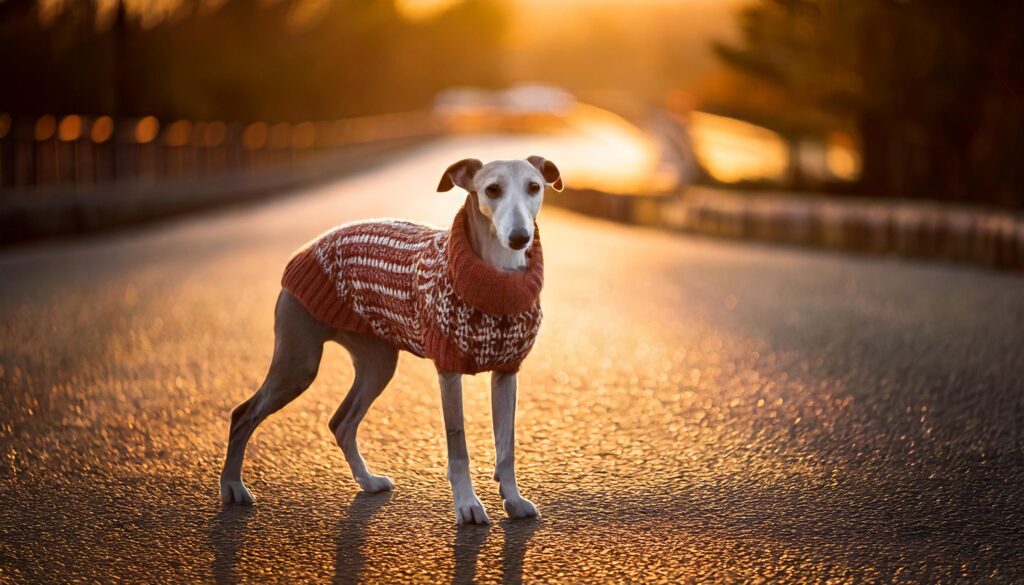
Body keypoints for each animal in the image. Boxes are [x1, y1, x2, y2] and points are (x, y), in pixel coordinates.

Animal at [219, 155, 565, 524]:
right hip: (298, 364)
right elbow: (458, 445)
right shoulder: (448, 371)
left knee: (341, 422)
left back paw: (368, 481)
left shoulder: (507, 372)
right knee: (243, 414)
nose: (519, 237)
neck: (494, 280)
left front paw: (513, 499)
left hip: (377, 364)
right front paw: (467, 505)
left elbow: (506, 445)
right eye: (492, 189)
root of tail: (307, 248)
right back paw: (233, 486)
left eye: (534, 187)